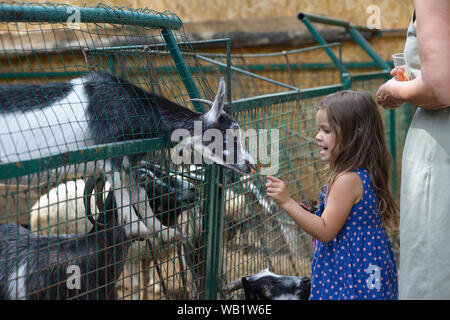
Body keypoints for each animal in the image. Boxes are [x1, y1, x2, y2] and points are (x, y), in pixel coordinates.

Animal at [0, 71, 256, 241]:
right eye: (229, 132)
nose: (251, 165)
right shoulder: (109, 149)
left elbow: (139, 193)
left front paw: (165, 232)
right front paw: (137, 229)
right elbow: (122, 187)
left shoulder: (129, 159)